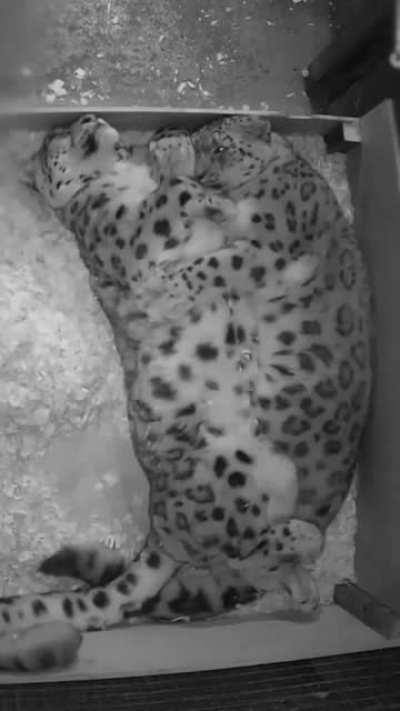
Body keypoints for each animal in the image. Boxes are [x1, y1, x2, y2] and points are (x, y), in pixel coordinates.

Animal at [0, 112, 371, 671]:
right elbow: (172, 202)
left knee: (242, 559)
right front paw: (184, 170)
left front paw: (176, 158)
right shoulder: (125, 233)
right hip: (230, 474)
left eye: (64, 129)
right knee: (240, 551)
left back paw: (304, 585)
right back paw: (305, 548)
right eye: (52, 140)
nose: (86, 117)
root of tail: (162, 529)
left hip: (273, 476)